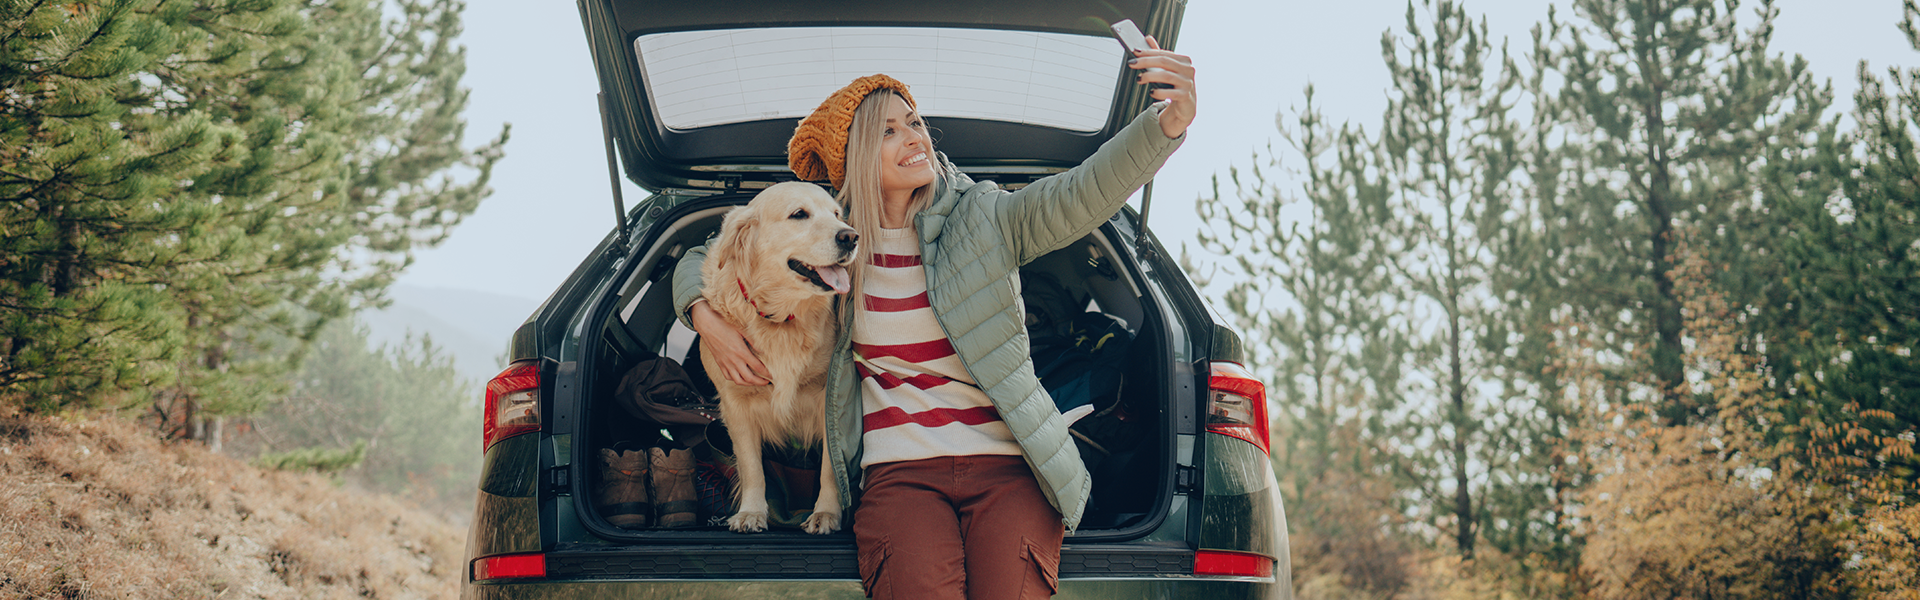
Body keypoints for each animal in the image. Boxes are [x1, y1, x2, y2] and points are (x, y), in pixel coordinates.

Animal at [698, 181, 856, 534]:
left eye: (837, 214)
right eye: (799, 214)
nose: (851, 237)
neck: (782, 318)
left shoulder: (828, 397)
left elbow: (830, 467)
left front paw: (826, 513)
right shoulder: (736, 404)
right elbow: (752, 467)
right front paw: (751, 512)